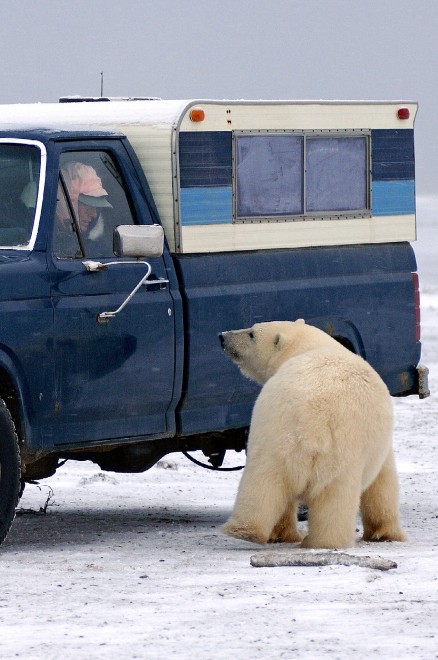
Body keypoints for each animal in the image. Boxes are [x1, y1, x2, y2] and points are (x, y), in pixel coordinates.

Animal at [219, 319, 407, 549]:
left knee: (264, 481)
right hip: (341, 452)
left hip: (273, 432)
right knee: (335, 499)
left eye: (251, 333)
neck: (308, 346)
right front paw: (385, 533)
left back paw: (246, 531)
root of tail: (311, 422)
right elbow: (383, 480)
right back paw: (324, 541)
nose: (222, 337)